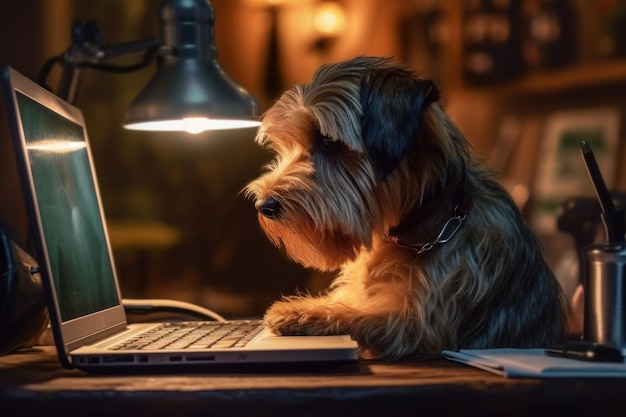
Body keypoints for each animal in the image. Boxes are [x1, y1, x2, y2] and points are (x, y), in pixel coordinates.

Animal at [243, 57, 564, 360]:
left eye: (328, 142)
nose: (264, 205)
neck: (420, 226)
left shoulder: (419, 326)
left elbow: (363, 314)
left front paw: (300, 312)